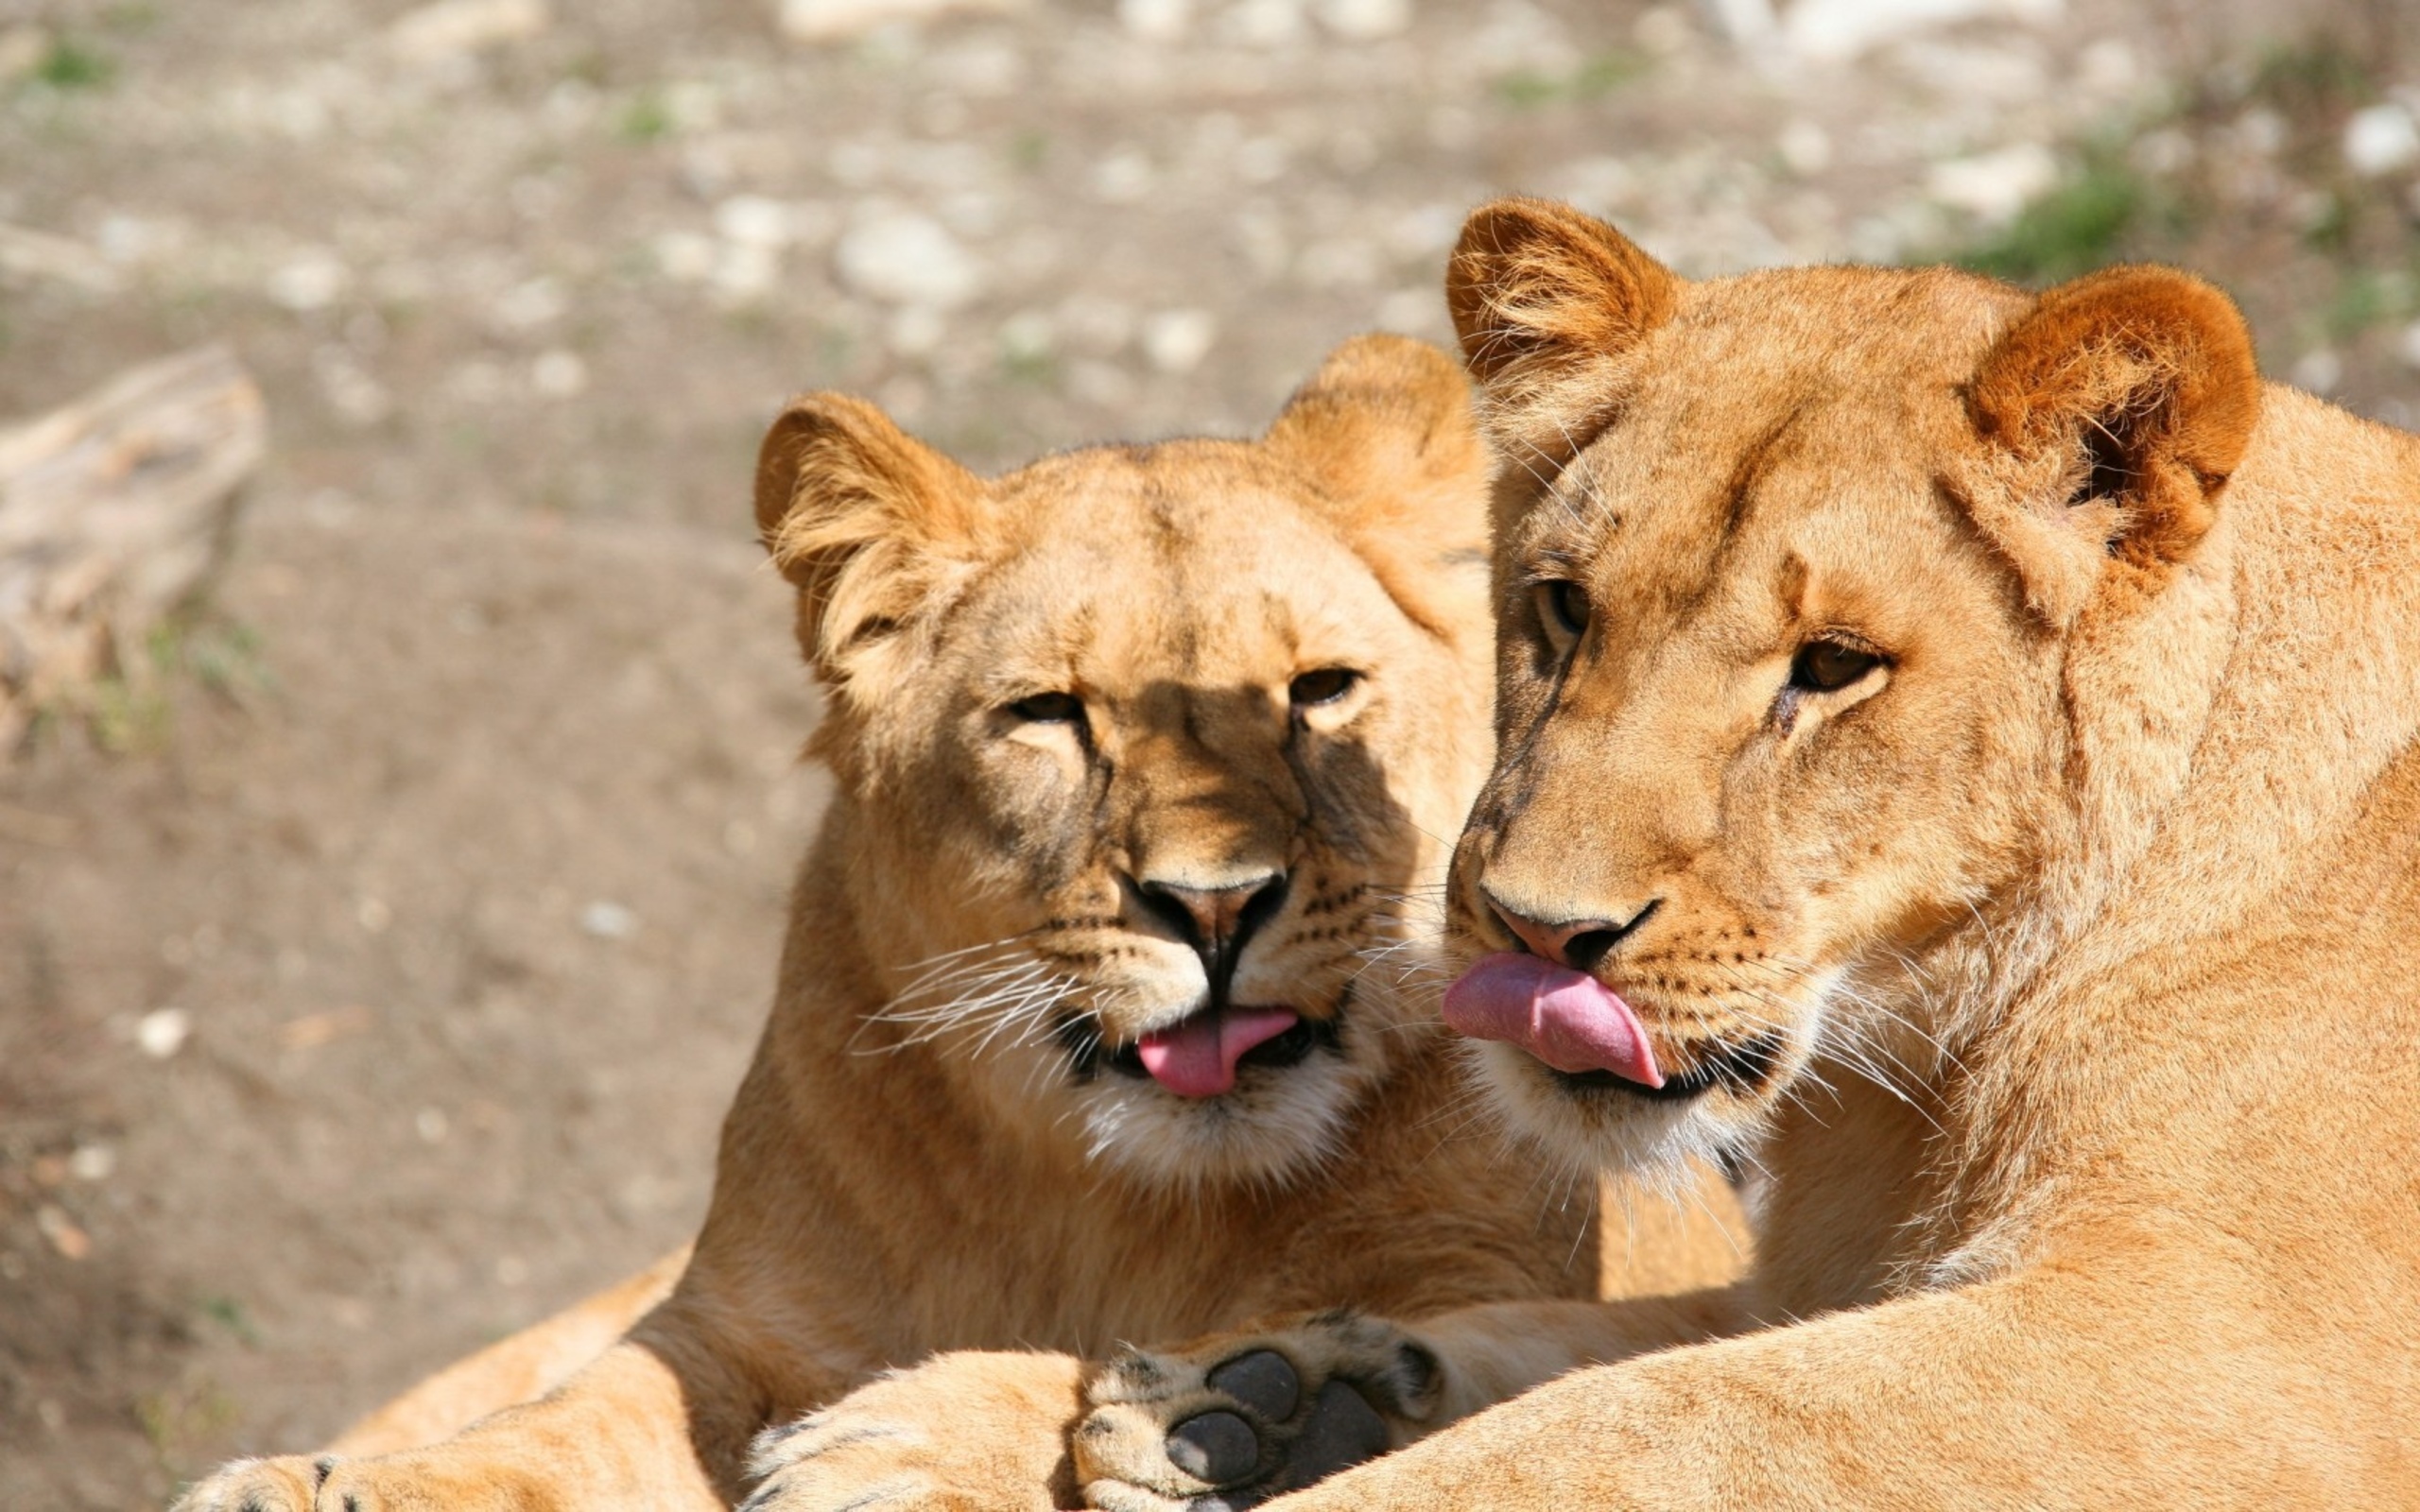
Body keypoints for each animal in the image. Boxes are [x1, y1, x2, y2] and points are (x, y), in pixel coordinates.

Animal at [175, 334, 1742, 1509]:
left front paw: (931, 1442)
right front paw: (323, 1489)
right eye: (1050, 715)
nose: (1215, 903)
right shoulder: (731, 1327)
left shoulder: (1493, 1272)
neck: (1110, 1196)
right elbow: (570, 1429)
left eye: (1318, 692)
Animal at [1074, 203, 2420, 1509]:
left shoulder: (2228, 1351)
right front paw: (1247, 1399)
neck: (1917, 1078)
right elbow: (1587, 1341)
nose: (1540, 933)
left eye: (1831, 665)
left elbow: (1647, 1422)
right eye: (1566, 605)